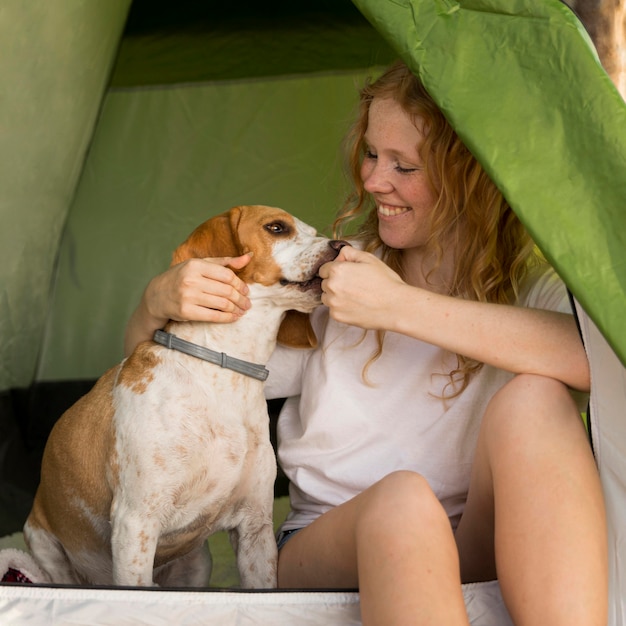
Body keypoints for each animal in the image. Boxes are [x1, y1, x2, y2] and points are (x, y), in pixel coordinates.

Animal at [24, 205, 344, 584]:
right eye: (277, 228)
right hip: (45, 547)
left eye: (313, 230)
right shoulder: (136, 522)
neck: (225, 370)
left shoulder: (255, 528)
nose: (342, 245)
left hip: (198, 563)